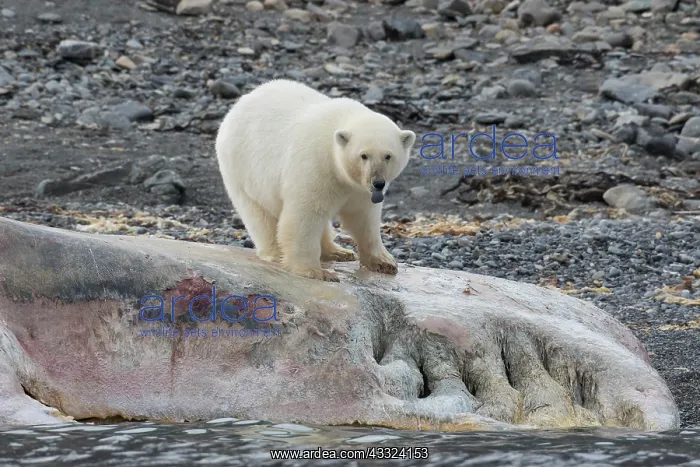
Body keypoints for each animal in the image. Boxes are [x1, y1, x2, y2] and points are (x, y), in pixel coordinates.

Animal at [215, 79, 416, 282]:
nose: (378, 183)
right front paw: (315, 271)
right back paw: (276, 253)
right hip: (241, 169)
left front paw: (384, 262)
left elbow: (363, 218)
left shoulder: (359, 191)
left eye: (388, 156)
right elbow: (304, 215)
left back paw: (339, 252)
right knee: (259, 216)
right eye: (363, 155)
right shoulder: (316, 165)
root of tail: (238, 104)